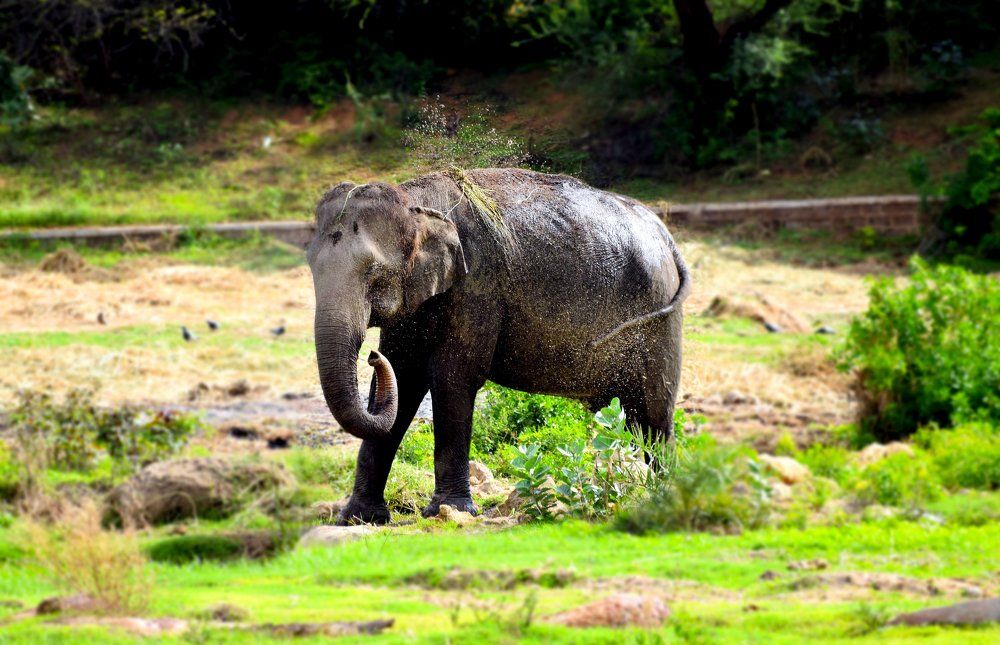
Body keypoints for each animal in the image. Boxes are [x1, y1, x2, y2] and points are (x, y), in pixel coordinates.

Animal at [307, 168, 690, 524]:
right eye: (311, 269)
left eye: (375, 274)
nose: (372, 356)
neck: (416, 203)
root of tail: (666, 234)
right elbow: (403, 379)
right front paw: (358, 519)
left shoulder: (478, 285)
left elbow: (452, 380)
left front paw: (449, 510)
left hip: (658, 319)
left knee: (653, 416)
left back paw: (665, 494)